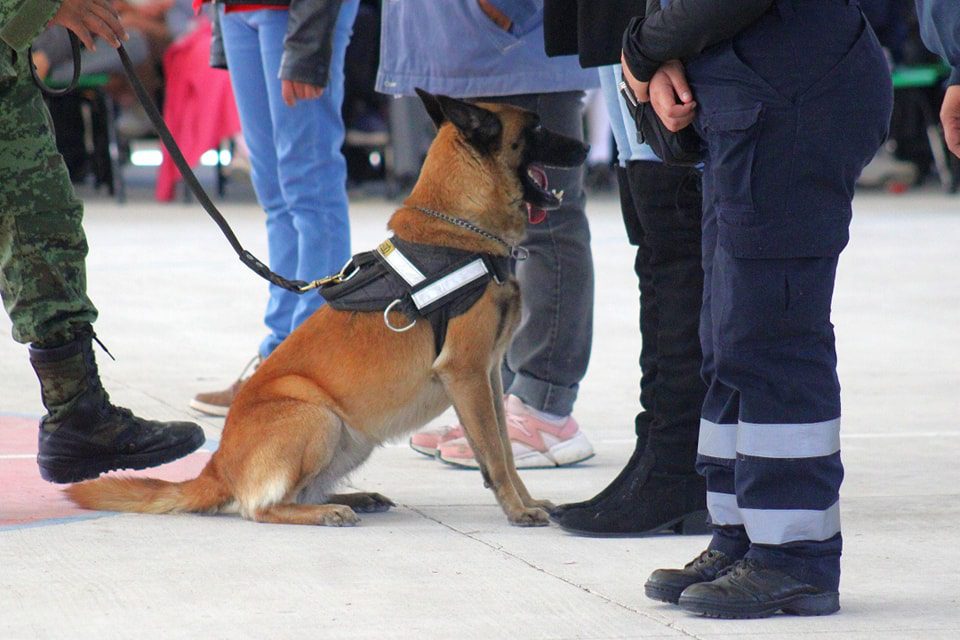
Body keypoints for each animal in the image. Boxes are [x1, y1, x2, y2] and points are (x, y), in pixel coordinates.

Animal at [65, 91, 584, 528]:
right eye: (537, 127)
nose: (583, 146)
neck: (460, 230)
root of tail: (217, 468)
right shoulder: (469, 374)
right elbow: (493, 453)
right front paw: (517, 509)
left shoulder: (489, 376)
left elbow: (505, 448)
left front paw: (526, 499)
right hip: (315, 414)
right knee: (260, 508)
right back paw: (325, 512)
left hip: (351, 436)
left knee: (300, 491)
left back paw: (351, 498)